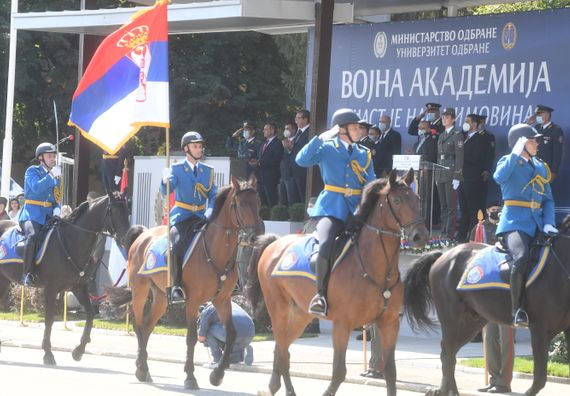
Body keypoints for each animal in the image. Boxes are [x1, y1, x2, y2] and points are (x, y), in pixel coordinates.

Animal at [0, 192, 129, 366]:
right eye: (114, 211)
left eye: (127, 209)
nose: (128, 238)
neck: (71, 240)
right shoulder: (51, 288)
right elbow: (49, 319)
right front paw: (48, 353)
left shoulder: (79, 287)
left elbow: (90, 314)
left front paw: (79, 350)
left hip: (4, 280)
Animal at [106, 176, 262, 390]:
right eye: (241, 204)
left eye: (258, 203)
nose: (257, 235)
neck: (215, 251)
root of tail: (143, 236)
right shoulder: (193, 300)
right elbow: (191, 338)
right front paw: (190, 376)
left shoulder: (222, 300)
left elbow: (231, 334)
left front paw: (217, 375)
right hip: (140, 291)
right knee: (138, 325)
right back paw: (142, 369)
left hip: (161, 297)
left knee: (147, 327)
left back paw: (143, 368)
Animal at [246, 170, 428, 396]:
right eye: (397, 200)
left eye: (417, 199)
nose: (420, 236)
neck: (373, 266)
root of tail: (275, 242)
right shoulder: (342, 324)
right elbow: (339, 372)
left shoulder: (389, 323)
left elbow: (390, 373)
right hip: (279, 310)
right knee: (281, 350)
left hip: (300, 315)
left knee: (283, 350)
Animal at [402, 218, 568, 394]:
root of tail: (445, 255)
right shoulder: (540, 329)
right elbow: (540, 379)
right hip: (451, 319)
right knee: (447, 354)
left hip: (472, 322)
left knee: (448, 352)